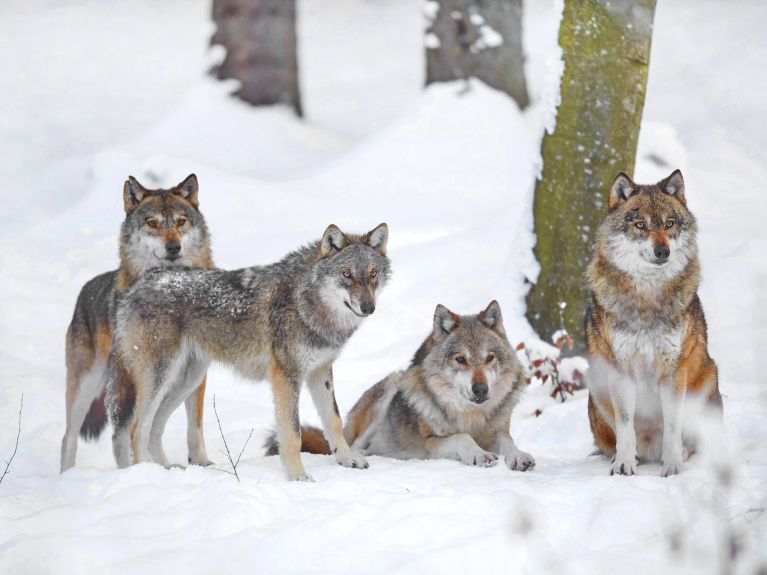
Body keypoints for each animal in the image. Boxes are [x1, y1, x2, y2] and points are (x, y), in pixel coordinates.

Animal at [59, 174, 216, 472]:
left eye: (181, 221)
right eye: (152, 223)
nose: (174, 247)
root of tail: (84, 291)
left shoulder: (198, 376)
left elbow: (196, 427)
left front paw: (201, 463)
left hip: (177, 379)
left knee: (144, 430)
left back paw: (160, 468)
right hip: (92, 386)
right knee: (72, 437)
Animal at [108, 223, 390, 480]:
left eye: (373, 274)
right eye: (346, 274)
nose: (368, 307)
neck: (306, 302)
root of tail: (137, 286)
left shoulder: (320, 372)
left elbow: (334, 420)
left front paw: (347, 458)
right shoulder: (286, 376)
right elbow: (293, 434)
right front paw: (297, 476)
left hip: (187, 381)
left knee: (155, 427)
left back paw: (166, 471)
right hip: (162, 377)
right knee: (137, 429)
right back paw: (146, 475)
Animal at [268, 302, 536, 472]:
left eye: (489, 358)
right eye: (461, 359)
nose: (481, 389)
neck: (471, 415)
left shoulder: (497, 431)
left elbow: (508, 441)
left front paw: (519, 456)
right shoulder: (431, 444)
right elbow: (463, 437)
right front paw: (479, 454)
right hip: (388, 391)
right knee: (352, 444)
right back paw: (363, 455)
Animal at [588, 170, 720, 476]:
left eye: (669, 224)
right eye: (641, 226)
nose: (663, 251)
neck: (648, 298)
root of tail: (650, 448)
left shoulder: (673, 370)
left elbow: (672, 426)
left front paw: (673, 465)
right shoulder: (621, 370)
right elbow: (625, 427)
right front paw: (623, 464)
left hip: (708, 378)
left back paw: (681, 453)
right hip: (596, 385)